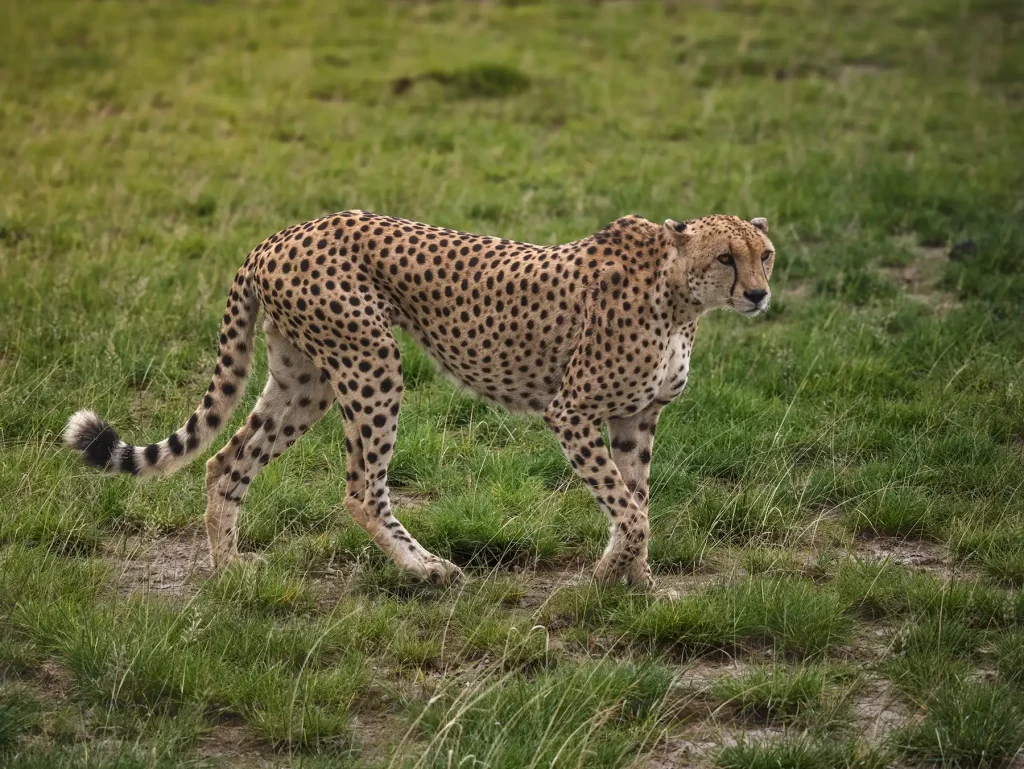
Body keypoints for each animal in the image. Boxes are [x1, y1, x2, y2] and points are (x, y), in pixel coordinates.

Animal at [64, 211, 774, 589]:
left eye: (765, 254)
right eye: (725, 257)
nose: (760, 294)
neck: (679, 297)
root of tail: (283, 233)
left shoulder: (636, 417)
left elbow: (637, 501)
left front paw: (638, 585)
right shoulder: (570, 412)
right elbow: (629, 508)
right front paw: (608, 576)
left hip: (305, 379)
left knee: (225, 460)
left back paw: (231, 569)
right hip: (371, 361)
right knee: (360, 489)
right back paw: (427, 567)